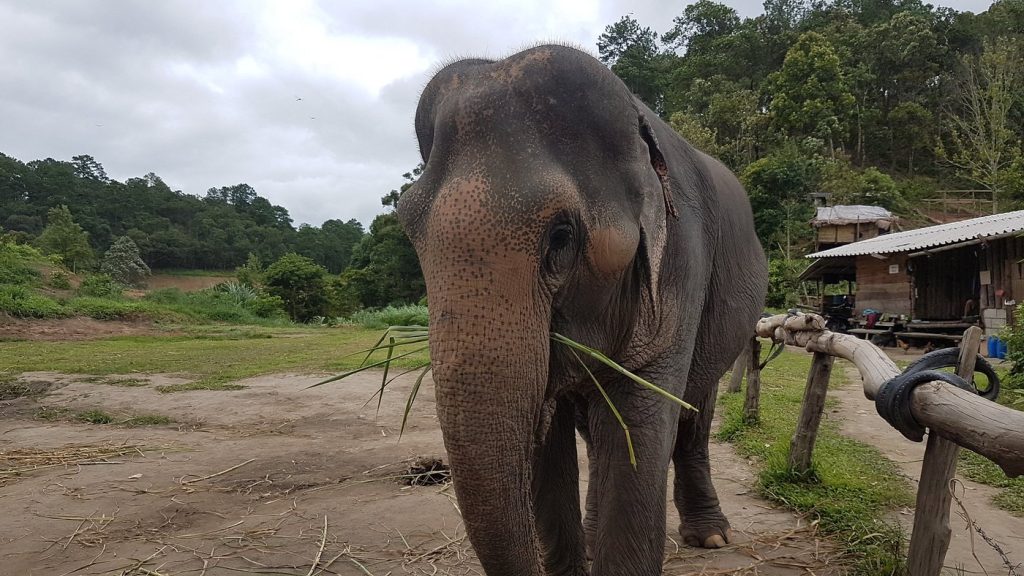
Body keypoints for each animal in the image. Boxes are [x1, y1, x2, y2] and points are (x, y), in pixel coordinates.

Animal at [395, 45, 768, 576]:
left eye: (561, 237)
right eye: (410, 232)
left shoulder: (681, 259)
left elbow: (638, 421)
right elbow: (552, 444)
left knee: (693, 415)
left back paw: (712, 537)